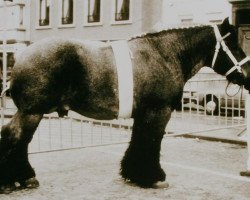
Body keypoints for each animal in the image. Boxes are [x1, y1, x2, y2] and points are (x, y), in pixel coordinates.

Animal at [0, 18, 250, 192]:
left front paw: (134, 173)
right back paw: (15, 179)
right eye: (234, 45)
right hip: (32, 112)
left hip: (30, 113)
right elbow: (151, 142)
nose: (247, 75)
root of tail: (21, 55)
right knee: (15, 138)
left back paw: (23, 177)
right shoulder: (158, 112)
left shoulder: (144, 114)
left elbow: (139, 140)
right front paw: (153, 177)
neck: (163, 54)